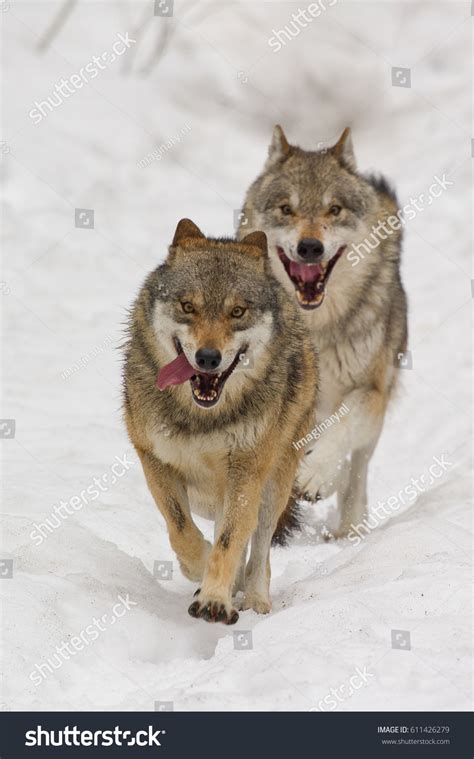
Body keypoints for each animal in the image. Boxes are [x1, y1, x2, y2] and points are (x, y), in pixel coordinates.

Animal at [123, 219, 318, 624]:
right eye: (188, 307)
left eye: (237, 312)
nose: (208, 357)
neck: (202, 418)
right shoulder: (154, 460)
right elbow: (182, 530)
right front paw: (200, 571)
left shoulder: (246, 471)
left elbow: (230, 541)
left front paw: (215, 599)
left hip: (274, 484)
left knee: (260, 548)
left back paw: (255, 599)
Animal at [238, 126, 408, 538]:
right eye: (287, 209)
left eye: (335, 210)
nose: (310, 247)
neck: (316, 327)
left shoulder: (371, 392)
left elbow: (344, 423)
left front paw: (316, 475)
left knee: (356, 474)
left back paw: (348, 526)